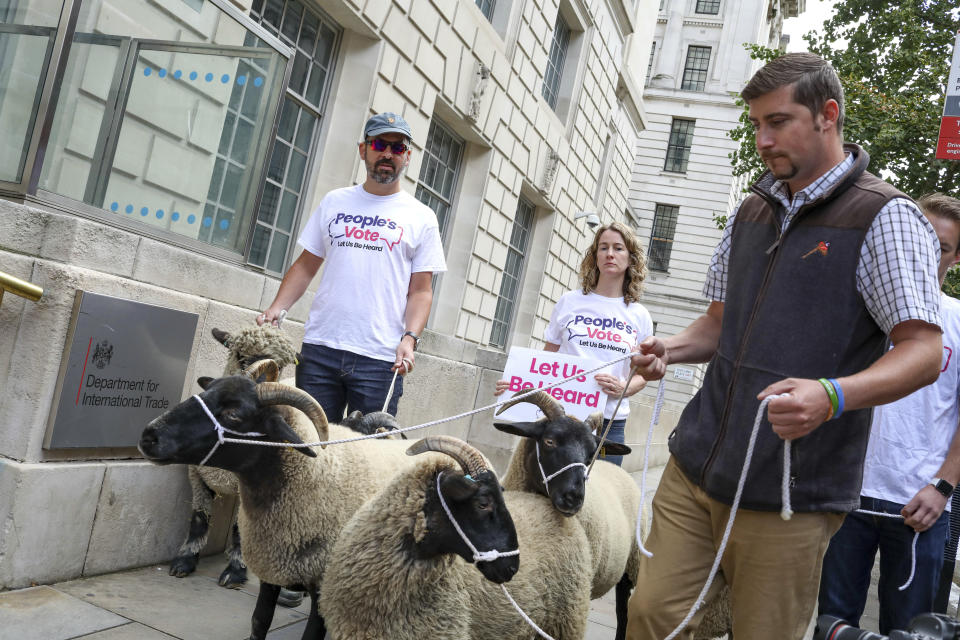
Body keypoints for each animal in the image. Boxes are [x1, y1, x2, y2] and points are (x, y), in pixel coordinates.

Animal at [140, 370, 446, 640]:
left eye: (234, 414)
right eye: (205, 393)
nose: (148, 437)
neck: (317, 474)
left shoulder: (325, 582)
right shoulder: (273, 565)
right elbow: (260, 620)